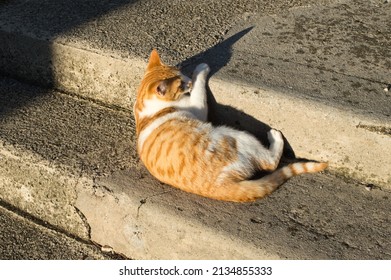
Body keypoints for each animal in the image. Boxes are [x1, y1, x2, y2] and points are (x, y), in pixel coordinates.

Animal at [135, 48, 328, 201]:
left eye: (181, 74)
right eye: (181, 84)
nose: (188, 79)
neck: (146, 108)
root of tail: (218, 189)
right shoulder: (199, 107)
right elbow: (199, 88)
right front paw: (201, 68)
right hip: (238, 137)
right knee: (270, 163)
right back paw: (275, 136)